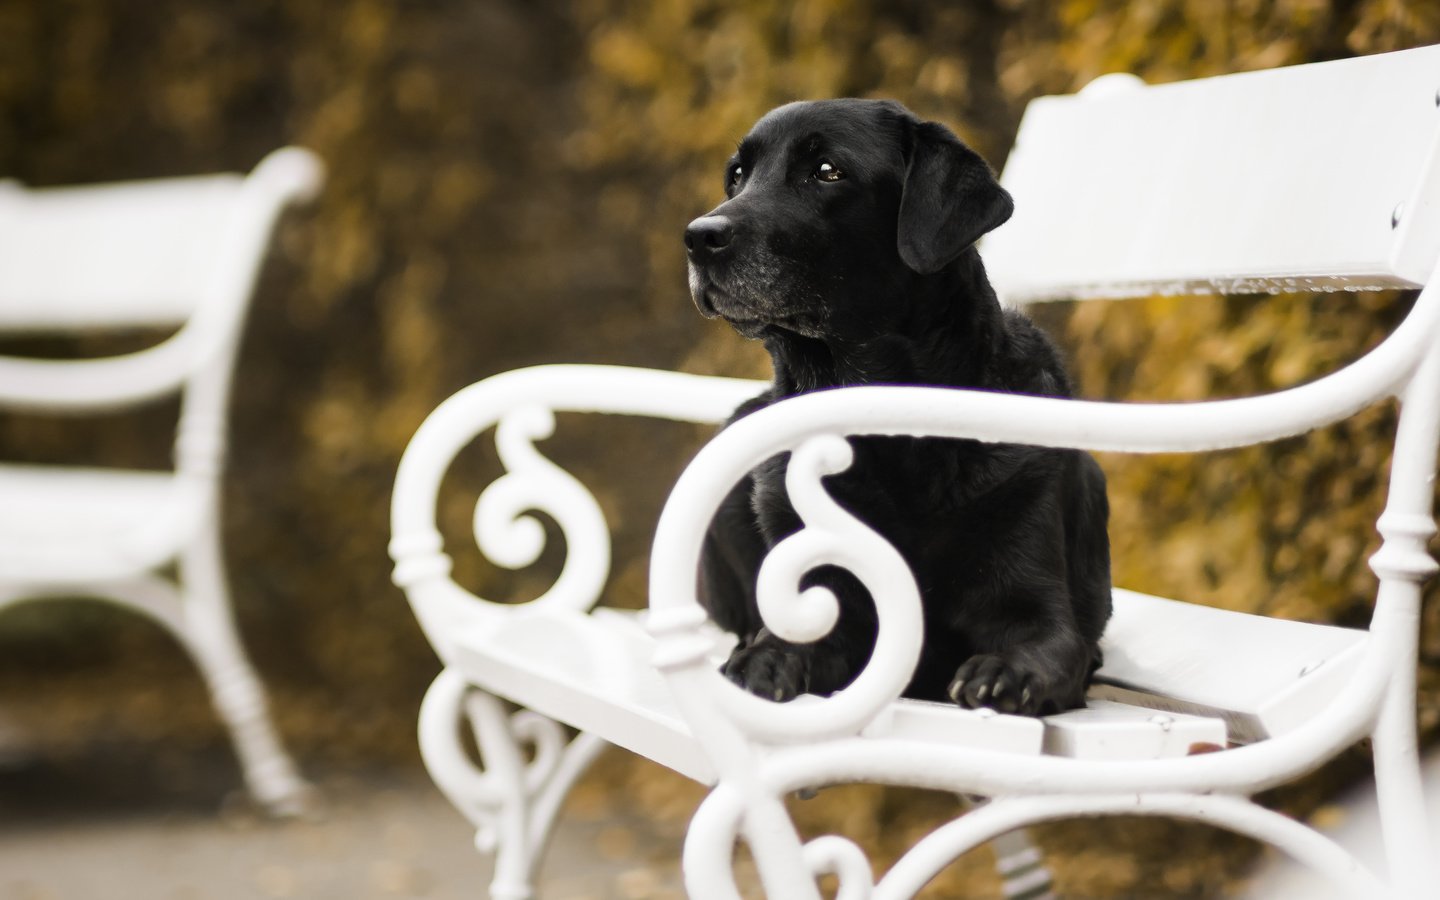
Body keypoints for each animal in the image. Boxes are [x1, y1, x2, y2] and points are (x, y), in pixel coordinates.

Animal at [685, 100, 1111, 717]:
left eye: (827, 171)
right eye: (737, 176)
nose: (698, 237)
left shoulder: (1041, 609)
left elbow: (1043, 645)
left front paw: (1003, 672)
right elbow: (786, 638)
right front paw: (759, 660)